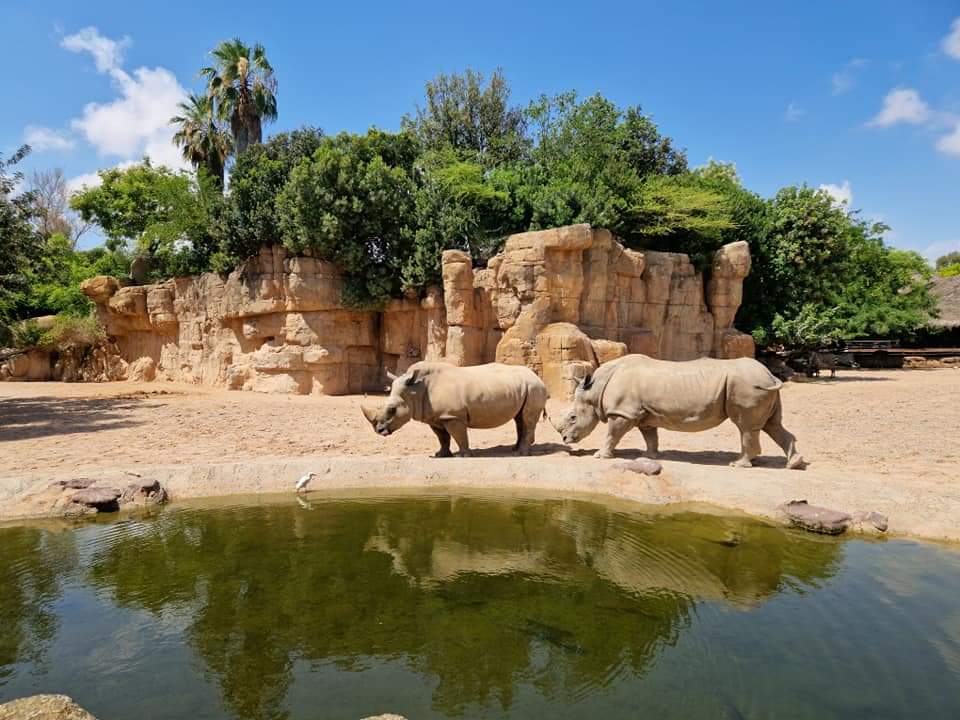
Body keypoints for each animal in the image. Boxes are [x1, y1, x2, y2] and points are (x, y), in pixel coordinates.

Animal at [361, 361, 549, 457]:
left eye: (392, 409)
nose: (379, 431)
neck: (416, 390)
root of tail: (537, 376)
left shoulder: (452, 416)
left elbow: (459, 436)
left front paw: (463, 455)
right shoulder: (436, 417)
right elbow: (442, 438)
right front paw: (440, 455)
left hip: (534, 388)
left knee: (527, 419)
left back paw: (521, 454)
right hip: (525, 387)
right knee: (519, 418)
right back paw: (515, 450)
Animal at [551, 354, 806, 469]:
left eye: (572, 417)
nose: (565, 439)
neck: (596, 389)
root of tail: (770, 375)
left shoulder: (623, 412)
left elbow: (612, 435)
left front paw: (600, 456)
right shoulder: (642, 412)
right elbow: (650, 435)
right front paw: (651, 456)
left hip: (748, 386)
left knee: (746, 427)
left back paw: (738, 465)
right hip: (758, 385)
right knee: (771, 425)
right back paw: (793, 464)